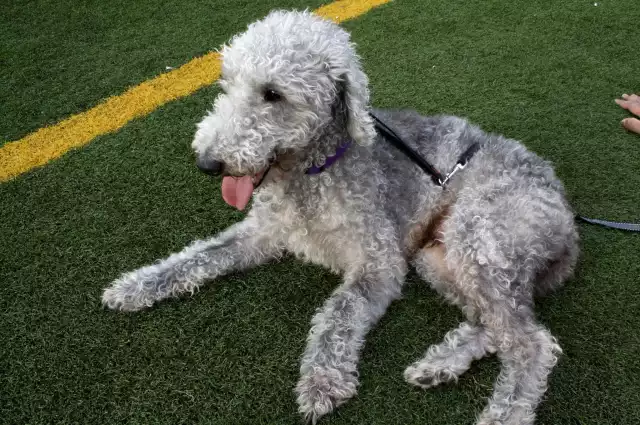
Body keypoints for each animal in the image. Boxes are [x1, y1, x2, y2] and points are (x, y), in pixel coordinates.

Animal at [101, 9, 580, 424]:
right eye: (227, 84)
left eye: (273, 93)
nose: (207, 163)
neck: (312, 174)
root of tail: (569, 222)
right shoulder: (262, 232)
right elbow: (199, 255)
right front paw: (135, 286)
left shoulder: (378, 260)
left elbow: (339, 312)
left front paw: (321, 380)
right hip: (439, 257)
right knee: (495, 326)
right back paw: (439, 364)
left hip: (478, 240)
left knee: (532, 343)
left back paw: (501, 413)